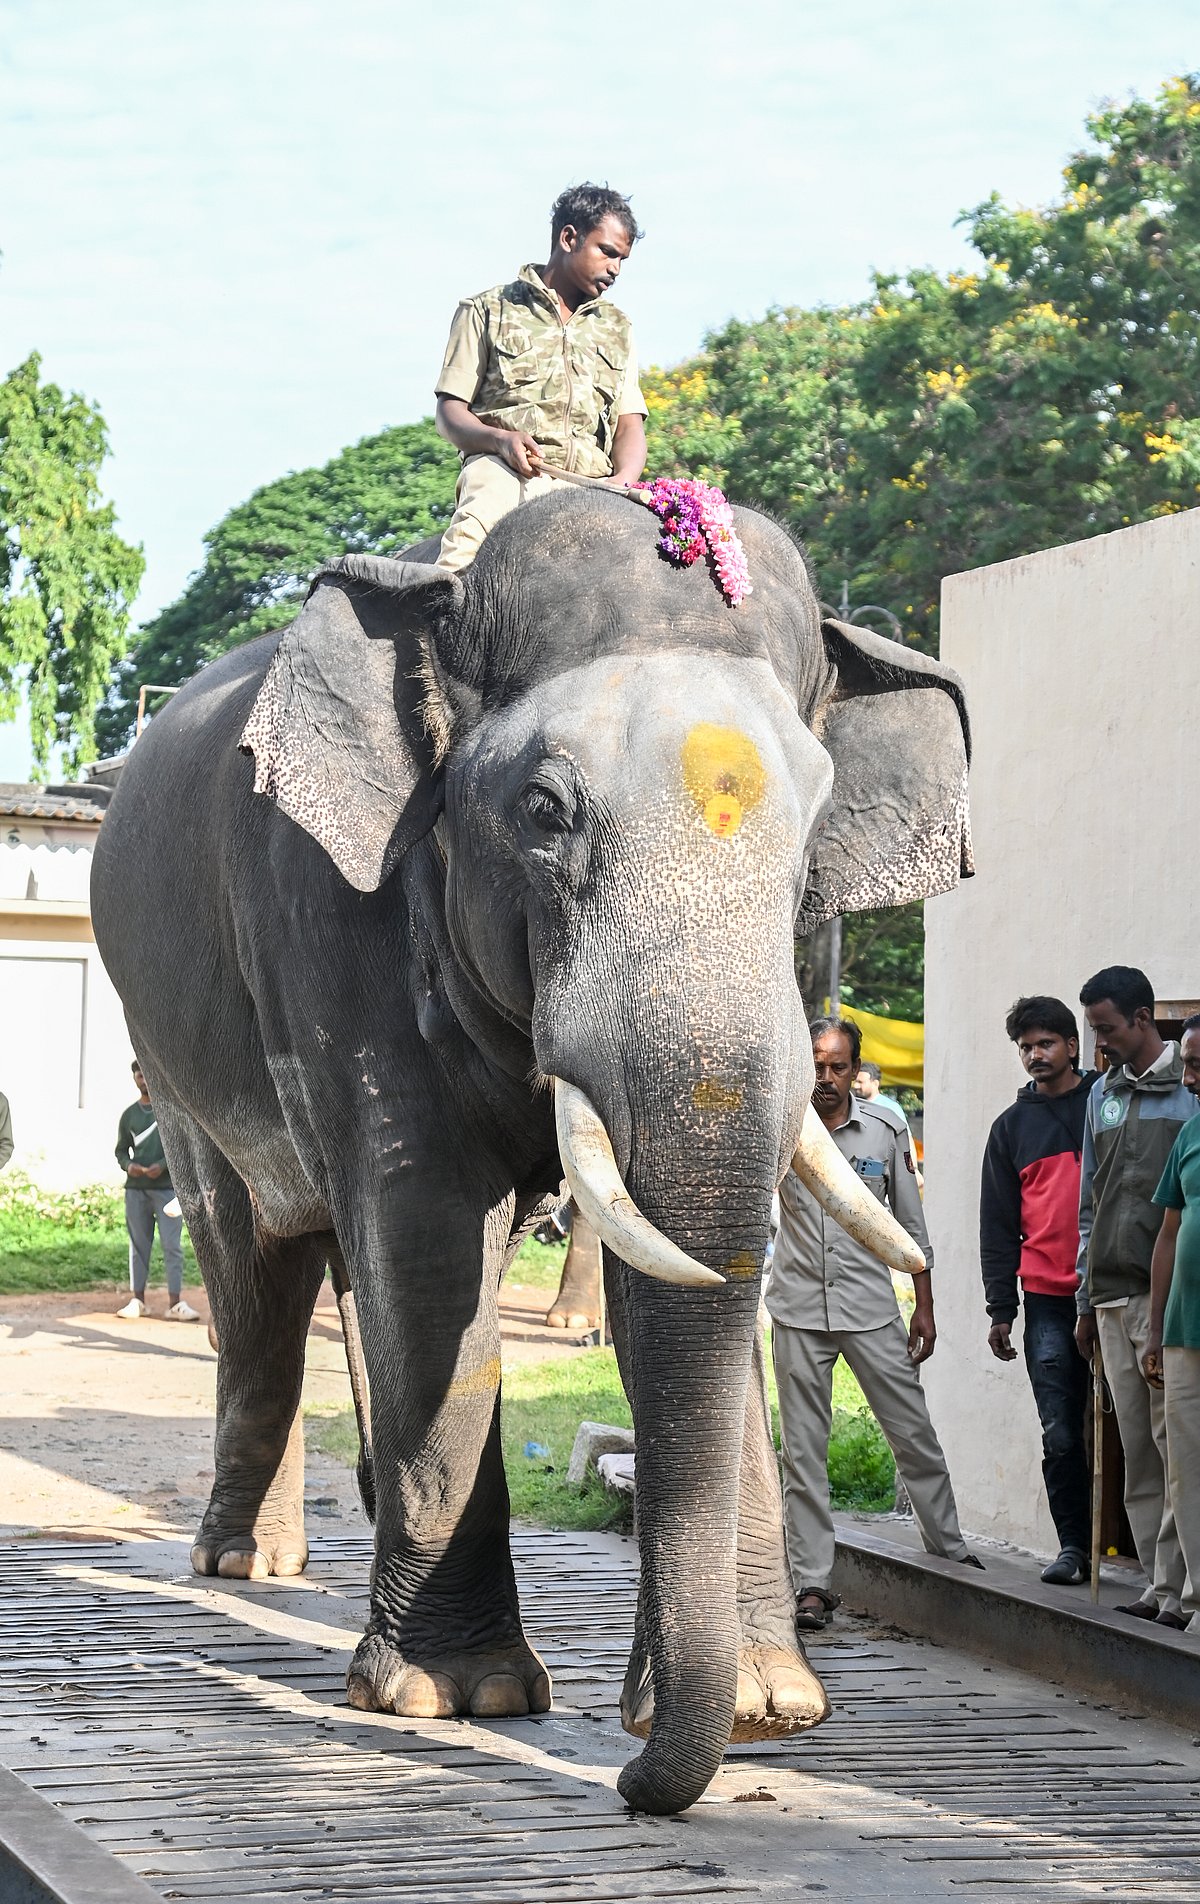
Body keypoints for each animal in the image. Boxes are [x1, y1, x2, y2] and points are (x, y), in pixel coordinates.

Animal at [90, 485, 971, 1816]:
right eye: (544, 812)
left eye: (816, 826)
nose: (636, 1784)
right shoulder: (334, 916)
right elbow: (427, 1235)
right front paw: (452, 1695)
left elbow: (666, 1263)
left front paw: (767, 1709)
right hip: (170, 1054)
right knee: (259, 1259)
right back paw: (250, 1561)